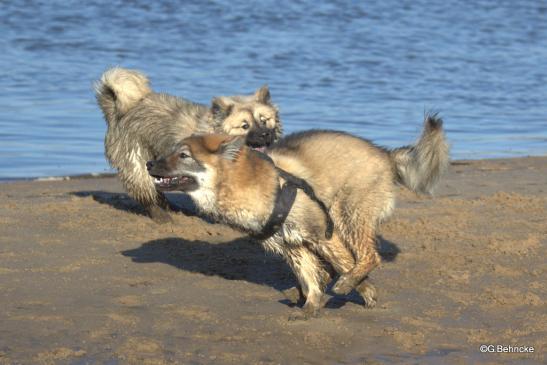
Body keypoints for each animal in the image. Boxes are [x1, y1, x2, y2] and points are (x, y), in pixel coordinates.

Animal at [96, 67, 282, 223]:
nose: (265, 134)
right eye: (245, 126)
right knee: (147, 193)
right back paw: (162, 217)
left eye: (264, 120)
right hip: (137, 161)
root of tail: (120, 112)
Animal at [147, 114, 450, 316]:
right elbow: (309, 277)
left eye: (183, 155)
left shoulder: (321, 234)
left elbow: (344, 265)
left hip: (346, 215)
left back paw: (347, 281)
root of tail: (385, 154)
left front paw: (362, 291)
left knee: (369, 256)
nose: (149, 163)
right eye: (171, 152)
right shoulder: (291, 246)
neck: (256, 182)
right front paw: (311, 307)